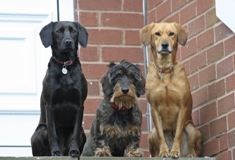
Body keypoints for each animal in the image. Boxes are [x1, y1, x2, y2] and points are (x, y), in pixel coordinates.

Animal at [29, 21, 87, 156]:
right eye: (58, 31)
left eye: (73, 31)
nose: (68, 42)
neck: (65, 65)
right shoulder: (50, 105)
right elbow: (52, 133)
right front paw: (55, 151)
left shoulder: (79, 105)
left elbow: (76, 132)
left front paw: (75, 151)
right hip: (40, 130)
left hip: (83, 133)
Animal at [140, 22, 202, 158]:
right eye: (157, 33)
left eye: (171, 34)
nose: (164, 44)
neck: (165, 70)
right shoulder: (154, 108)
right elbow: (161, 135)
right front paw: (164, 152)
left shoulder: (183, 107)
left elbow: (178, 134)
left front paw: (174, 151)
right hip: (151, 133)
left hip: (192, 130)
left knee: (195, 150)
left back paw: (190, 154)